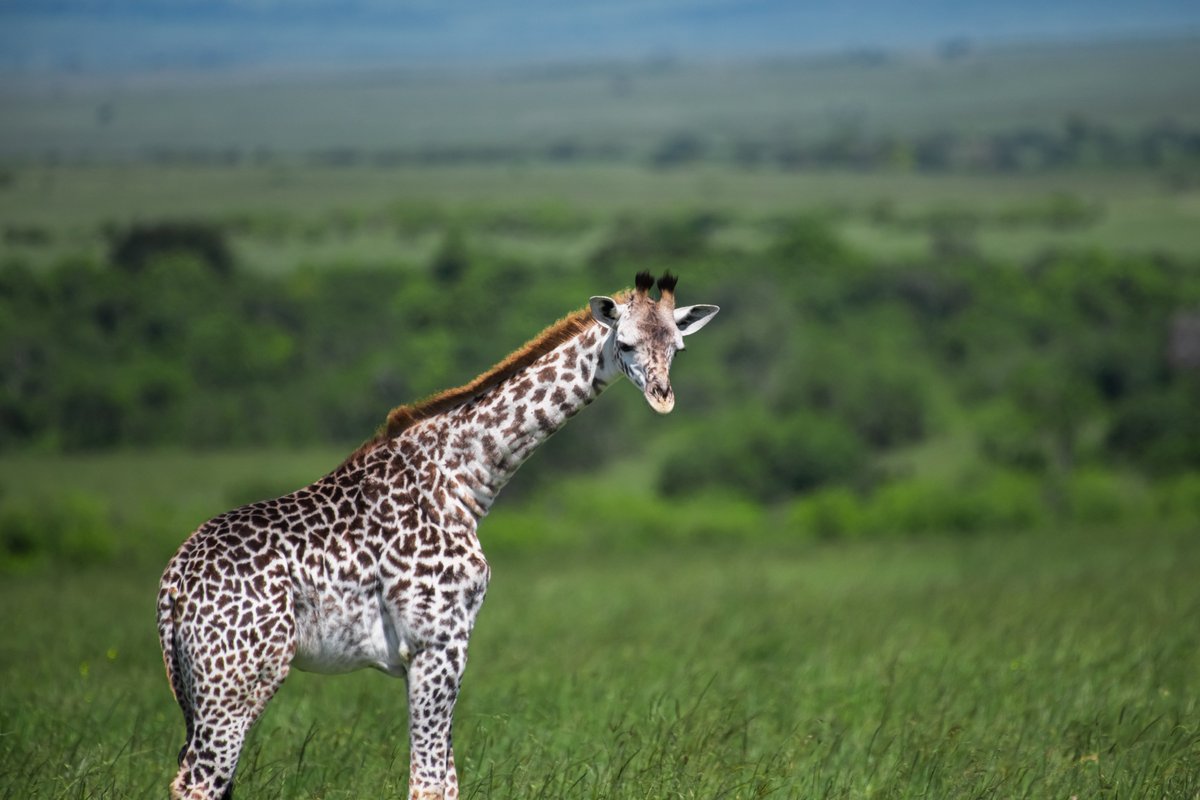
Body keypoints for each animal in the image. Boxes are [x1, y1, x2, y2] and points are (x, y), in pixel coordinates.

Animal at [156, 271, 719, 799]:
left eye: (678, 347)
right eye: (624, 343)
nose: (662, 398)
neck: (461, 478)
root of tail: (173, 584)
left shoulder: (442, 645)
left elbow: (445, 779)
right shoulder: (438, 641)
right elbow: (428, 782)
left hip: (200, 687)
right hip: (240, 678)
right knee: (198, 781)